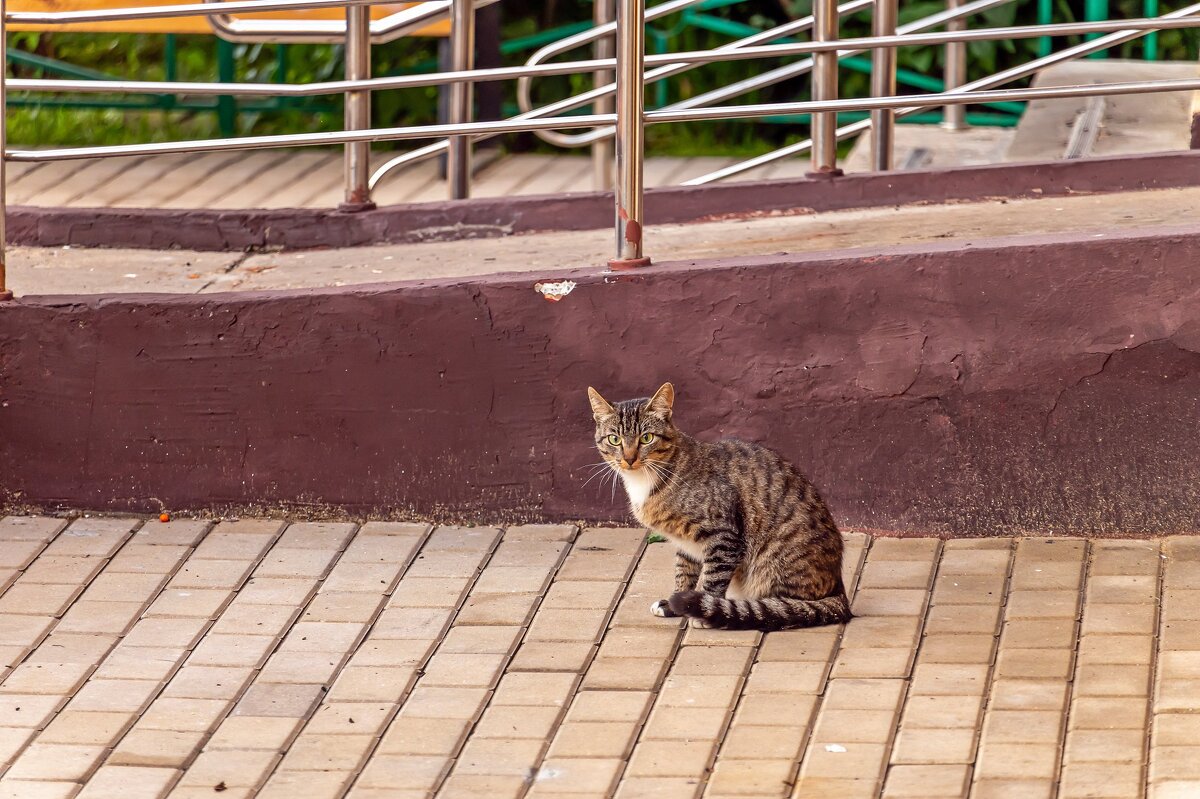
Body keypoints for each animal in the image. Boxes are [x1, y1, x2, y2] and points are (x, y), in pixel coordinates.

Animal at [585, 381, 849, 628]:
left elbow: (713, 577)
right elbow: (684, 571)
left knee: (783, 606)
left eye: (646, 438)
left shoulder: (724, 536)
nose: (629, 459)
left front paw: (703, 610)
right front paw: (674, 602)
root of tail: (839, 589)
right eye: (615, 439)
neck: (645, 481)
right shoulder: (685, 543)